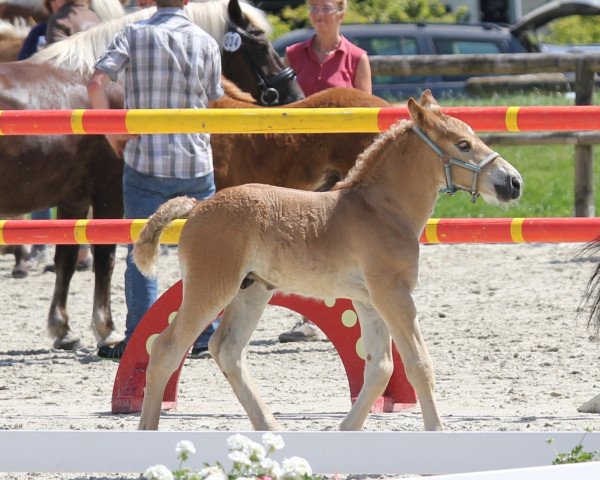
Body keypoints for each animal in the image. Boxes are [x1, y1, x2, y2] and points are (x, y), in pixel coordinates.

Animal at [134, 90, 524, 432]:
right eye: (463, 145)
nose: (514, 182)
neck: (381, 210)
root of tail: (197, 207)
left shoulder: (369, 301)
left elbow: (380, 368)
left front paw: (346, 429)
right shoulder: (394, 295)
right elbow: (418, 365)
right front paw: (437, 429)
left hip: (252, 290)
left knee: (227, 350)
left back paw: (268, 424)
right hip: (211, 287)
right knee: (167, 349)